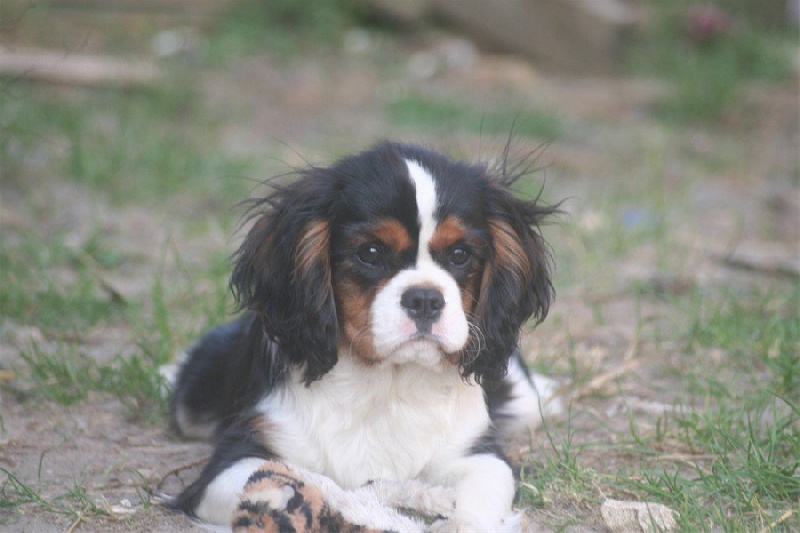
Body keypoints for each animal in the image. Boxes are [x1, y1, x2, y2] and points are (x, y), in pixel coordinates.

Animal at [167, 140, 564, 528]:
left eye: (460, 254)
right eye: (370, 253)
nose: (425, 299)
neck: (386, 382)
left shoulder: (480, 455)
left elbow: (475, 506)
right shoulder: (234, 461)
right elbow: (308, 482)